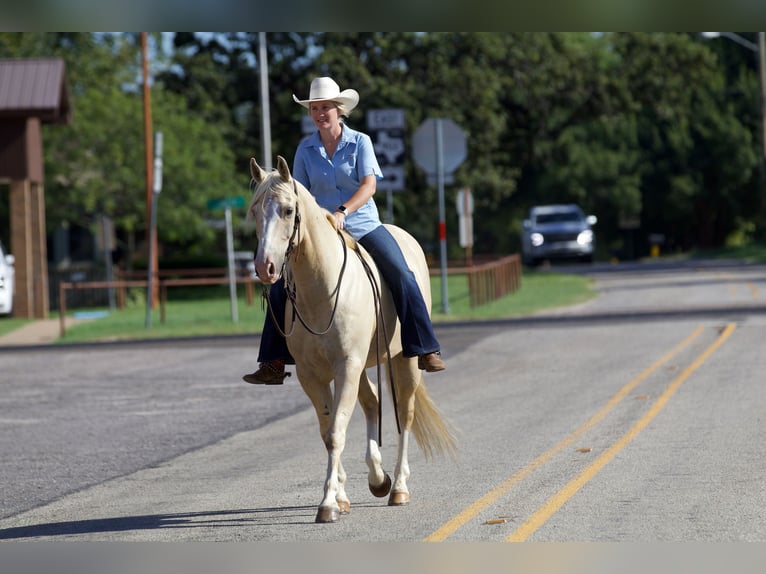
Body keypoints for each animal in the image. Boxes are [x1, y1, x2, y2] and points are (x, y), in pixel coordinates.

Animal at [249, 155, 460, 524]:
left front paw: (328, 505)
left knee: (404, 413)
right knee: (373, 402)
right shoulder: (313, 373)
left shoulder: (347, 365)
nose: (265, 267)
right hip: (361, 366)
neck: (322, 288)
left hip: (403, 361)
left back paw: (398, 487)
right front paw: (340, 496)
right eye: (254, 212)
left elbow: (336, 431)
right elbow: (329, 431)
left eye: (288, 210)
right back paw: (377, 479)